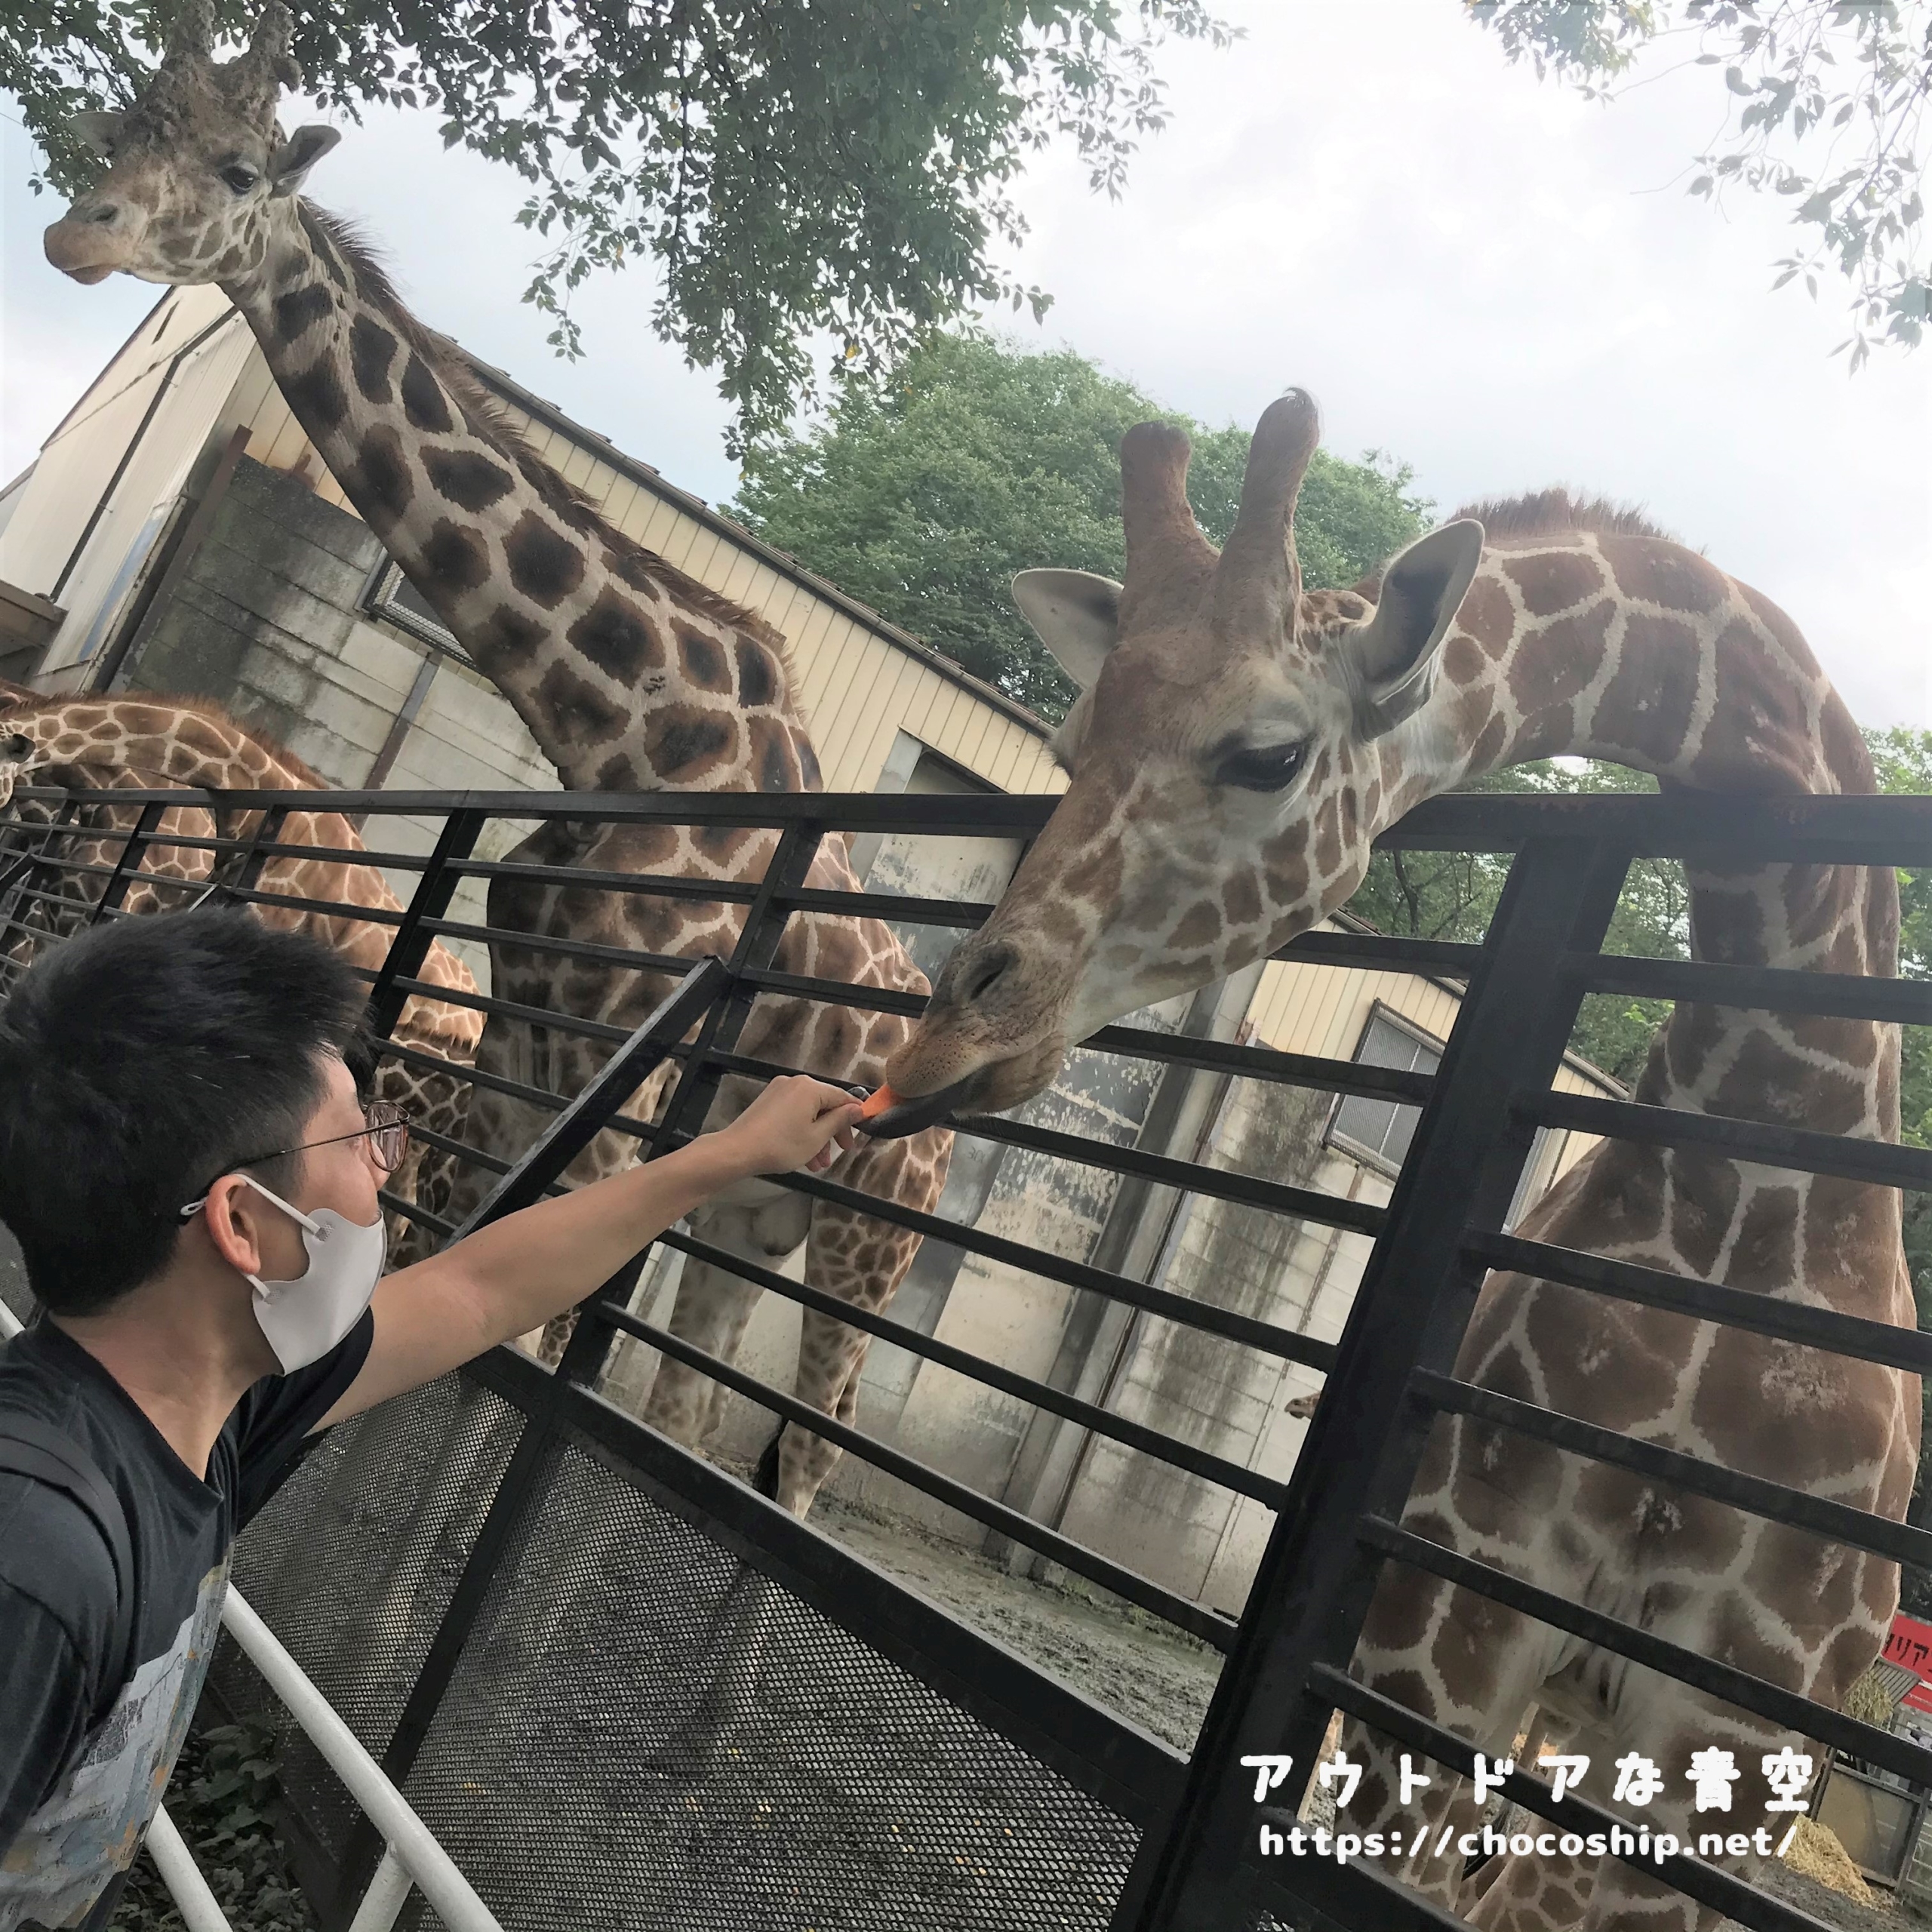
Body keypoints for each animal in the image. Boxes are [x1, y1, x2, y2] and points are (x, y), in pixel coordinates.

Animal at [877, 388, 1916, 1916]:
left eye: (1265, 755)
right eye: (1068, 748)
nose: (943, 1046)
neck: (1758, 1179)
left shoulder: (1731, 1724)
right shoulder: (1445, 1609)